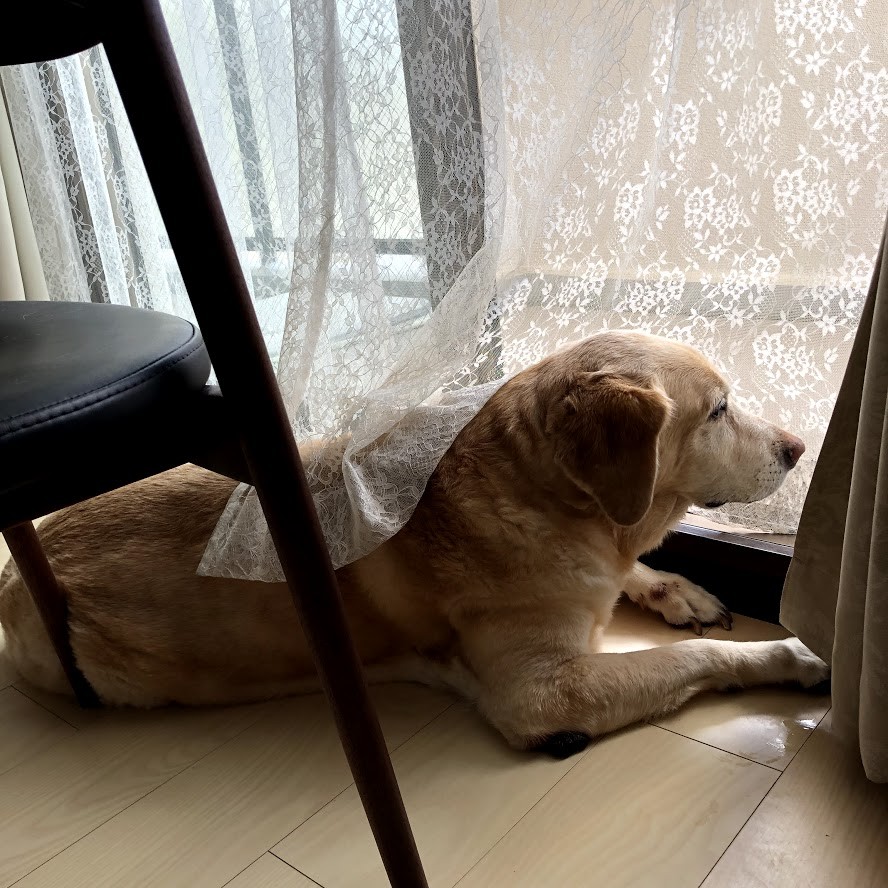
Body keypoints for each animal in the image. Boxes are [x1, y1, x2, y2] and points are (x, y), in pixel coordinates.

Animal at [0, 331, 828, 756]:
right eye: (718, 410)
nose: (797, 448)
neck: (550, 504)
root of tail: (16, 575)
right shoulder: (540, 689)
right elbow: (696, 659)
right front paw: (790, 656)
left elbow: (633, 576)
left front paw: (678, 589)